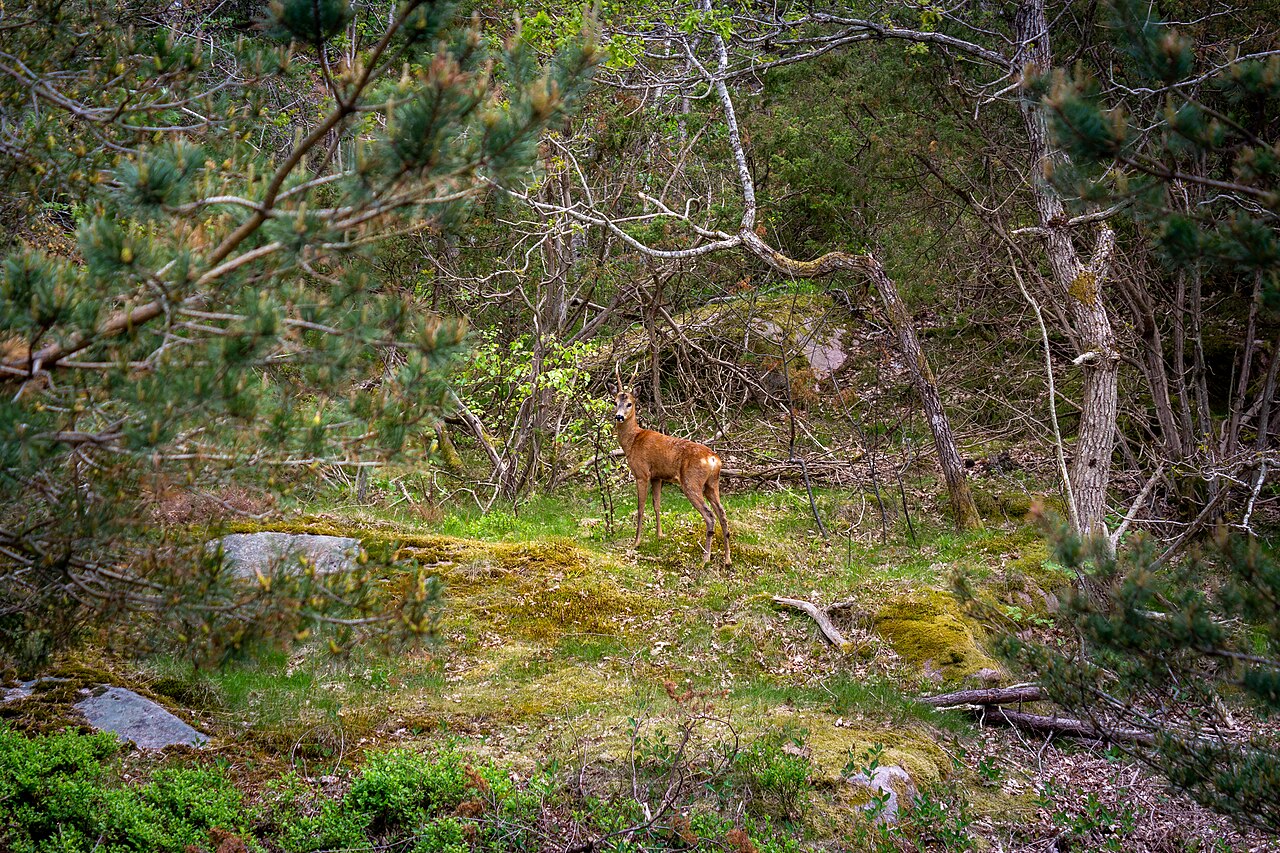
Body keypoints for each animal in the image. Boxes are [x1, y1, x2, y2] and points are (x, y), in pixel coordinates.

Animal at [609, 367, 731, 566]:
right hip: (712, 484)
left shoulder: (642, 473)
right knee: (722, 513)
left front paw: (636, 542)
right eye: (614, 402)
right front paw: (660, 535)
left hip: (691, 482)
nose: (618, 416)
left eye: (629, 403)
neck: (632, 441)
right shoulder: (657, 476)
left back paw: (705, 558)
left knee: (710, 516)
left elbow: (641, 508)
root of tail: (714, 460)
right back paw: (727, 559)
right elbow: (657, 504)